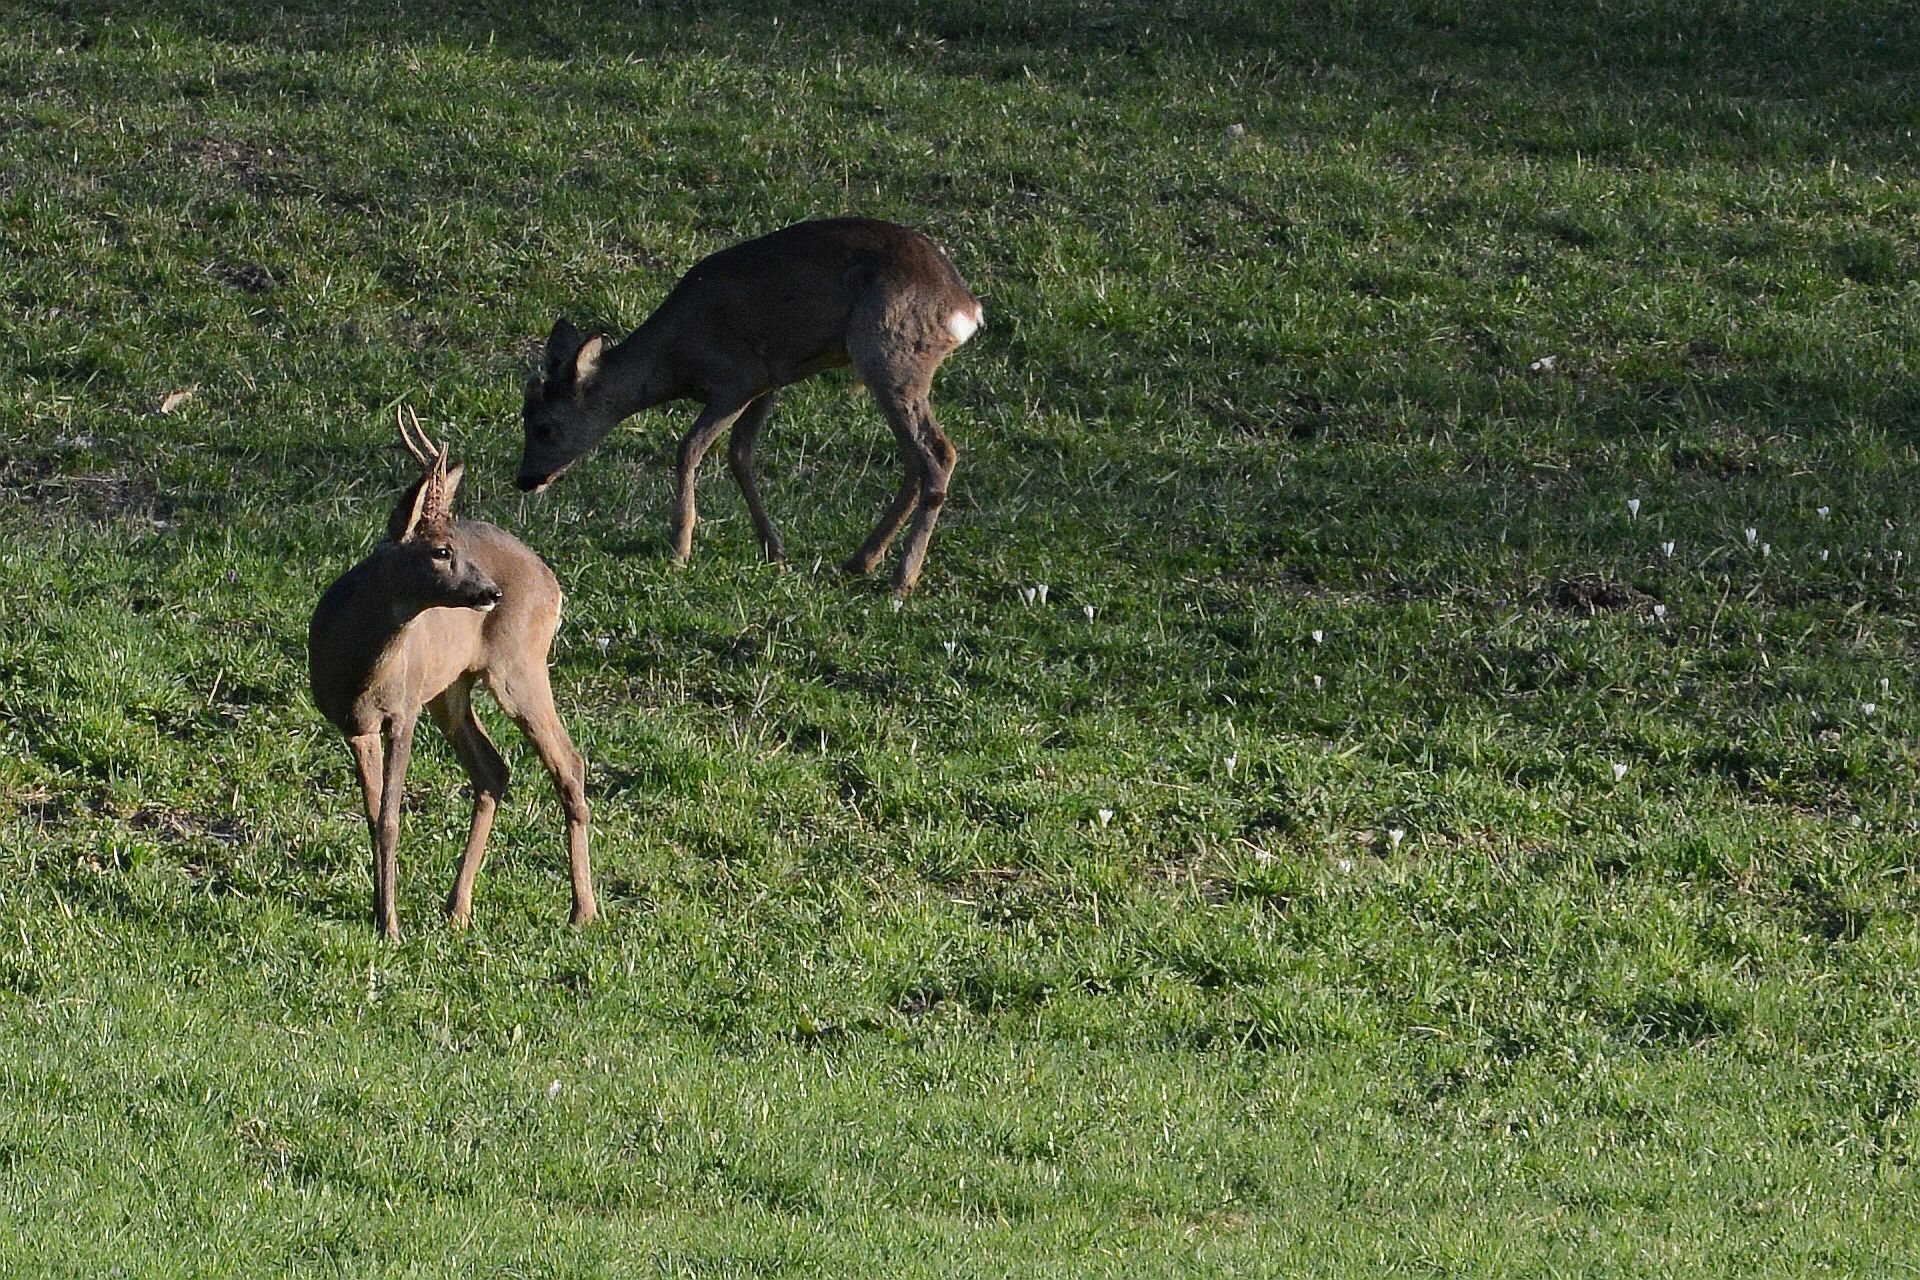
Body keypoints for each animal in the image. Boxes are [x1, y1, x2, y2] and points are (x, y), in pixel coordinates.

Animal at [309, 410, 595, 942]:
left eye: (457, 546)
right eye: (442, 551)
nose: (491, 592)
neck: (360, 667)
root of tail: (552, 581)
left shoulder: (403, 709)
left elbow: (390, 816)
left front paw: (390, 926)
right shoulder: (354, 726)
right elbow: (374, 815)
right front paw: (381, 913)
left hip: (518, 664)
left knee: (568, 761)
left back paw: (582, 910)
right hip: (450, 689)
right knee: (492, 770)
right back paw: (457, 907)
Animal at [515, 217, 983, 596]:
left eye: (545, 427)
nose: (525, 479)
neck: (675, 359)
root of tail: (966, 308)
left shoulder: (737, 379)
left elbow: (689, 449)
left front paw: (679, 549)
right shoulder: (768, 382)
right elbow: (740, 456)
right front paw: (775, 551)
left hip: (888, 352)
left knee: (938, 453)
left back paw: (901, 580)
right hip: (891, 367)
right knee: (914, 459)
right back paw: (861, 561)